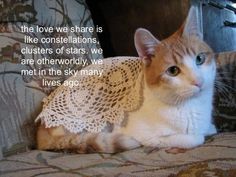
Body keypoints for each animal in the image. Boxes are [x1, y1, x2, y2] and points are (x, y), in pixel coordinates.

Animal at [37, 6, 218, 153]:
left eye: (199, 59)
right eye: (173, 71)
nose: (198, 81)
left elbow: (209, 129)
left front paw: (209, 127)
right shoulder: (147, 136)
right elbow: (193, 139)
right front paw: (198, 135)